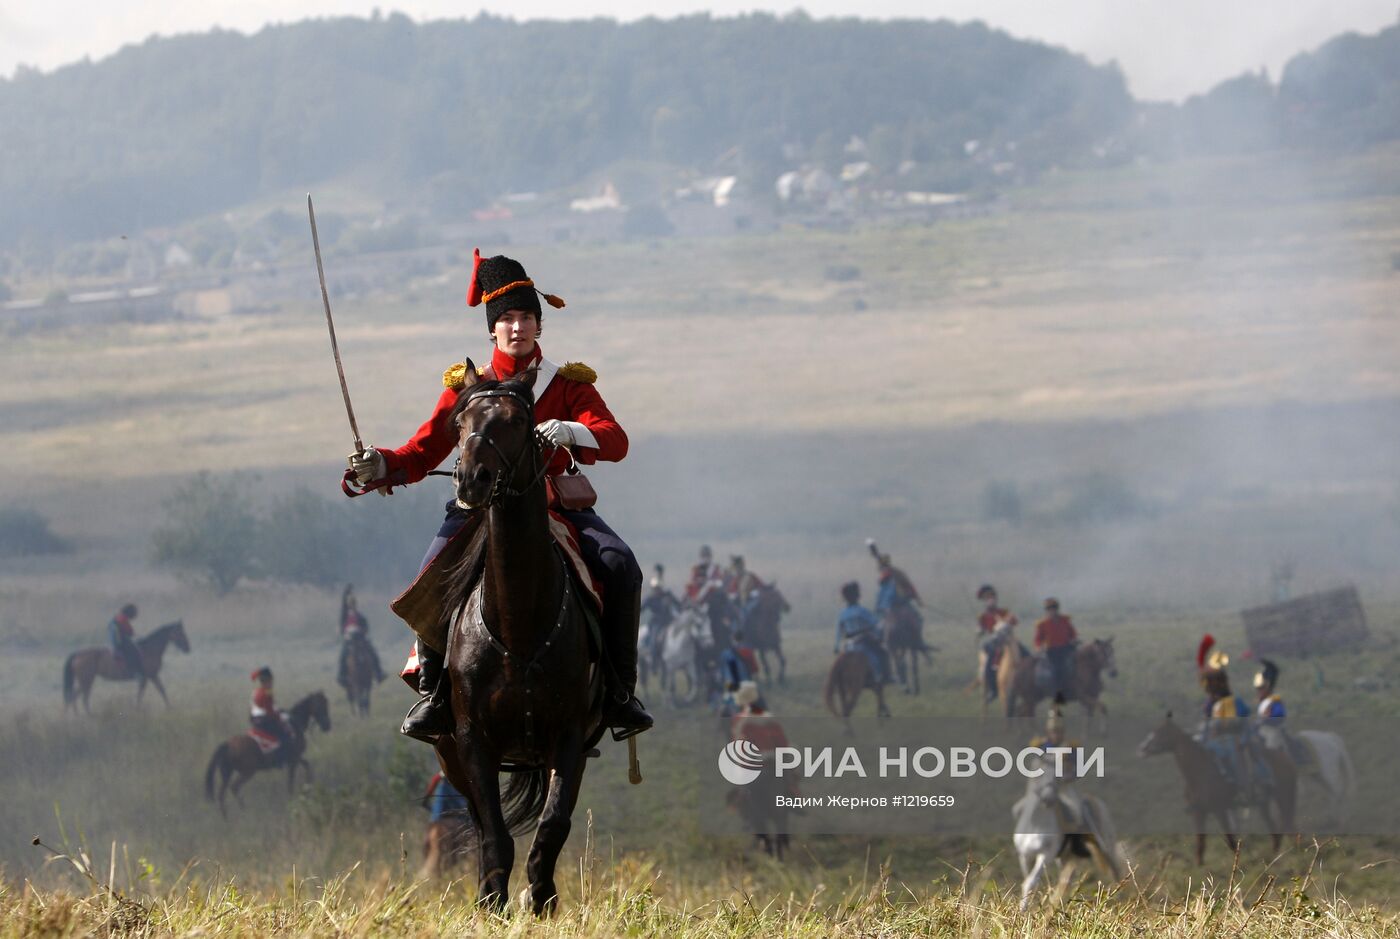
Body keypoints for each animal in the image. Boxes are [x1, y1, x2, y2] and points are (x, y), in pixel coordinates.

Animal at [61, 621, 191, 716]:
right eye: (180, 633)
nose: (187, 648)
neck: (149, 650)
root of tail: (77, 654)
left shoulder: (152, 676)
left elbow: (161, 691)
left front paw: (170, 708)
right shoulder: (146, 677)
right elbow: (141, 694)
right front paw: (137, 710)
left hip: (85, 681)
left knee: (74, 697)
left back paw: (76, 716)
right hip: (87, 680)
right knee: (80, 698)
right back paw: (86, 716)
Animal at [203, 685, 330, 817]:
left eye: (327, 703)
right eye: (321, 705)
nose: (327, 726)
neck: (295, 724)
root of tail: (228, 744)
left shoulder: (295, 758)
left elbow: (307, 765)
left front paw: (308, 786)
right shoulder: (293, 759)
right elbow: (291, 781)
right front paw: (296, 796)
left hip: (227, 774)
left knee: (221, 795)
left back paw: (227, 817)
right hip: (248, 771)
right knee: (234, 787)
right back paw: (244, 810)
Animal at [436, 369, 607, 918]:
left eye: (516, 421)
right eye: (459, 421)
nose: (471, 480)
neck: (516, 623)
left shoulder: (568, 737)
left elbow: (552, 826)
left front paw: (543, 900)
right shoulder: (471, 740)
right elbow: (493, 830)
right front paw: (491, 903)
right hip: (449, 752)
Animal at [1008, 755, 1125, 912]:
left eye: (1057, 777)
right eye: (1038, 774)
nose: (1048, 798)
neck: (1036, 825)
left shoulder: (1046, 855)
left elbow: (1031, 881)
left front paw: (1023, 911)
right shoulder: (1025, 857)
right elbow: (1027, 881)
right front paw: (1024, 909)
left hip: (1106, 849)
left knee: (1115, 872)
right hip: (1065, 857)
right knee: (1066, 882)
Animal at [1131, 716, 1293, 862]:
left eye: (1161, 732)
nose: (1141, 749)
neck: (1200, 774)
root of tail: (1284, 757)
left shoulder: (1219, 809)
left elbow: (1230, 840)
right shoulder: (1198, 812)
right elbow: (1200, 844)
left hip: (1284, 795)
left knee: (1286, 821)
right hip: (1264, 803)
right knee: (1273, 824)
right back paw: (1276, 852)